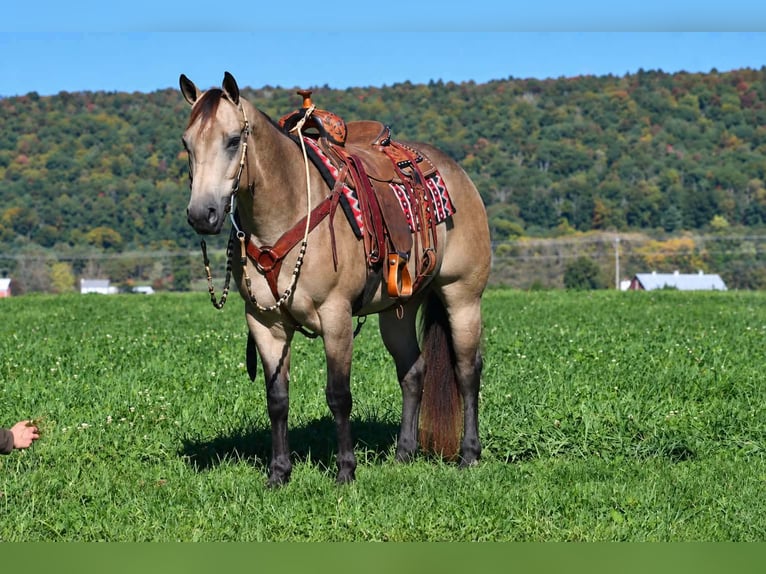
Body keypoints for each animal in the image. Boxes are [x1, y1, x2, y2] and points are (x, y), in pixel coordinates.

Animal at [179, 72, 491, 485]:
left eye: (232, 140)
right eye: (186, 143)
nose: (202, 214)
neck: (288, 208)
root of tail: (457, 174)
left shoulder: (336, 316)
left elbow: (339, 395)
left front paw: (346, 470)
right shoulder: (265, 322)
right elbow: (277, 399)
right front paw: (279, 473)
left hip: (462, 297)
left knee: (467, 371)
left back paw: (469, 455)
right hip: (400, 310)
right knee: (413, 372)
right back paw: (403, 453)